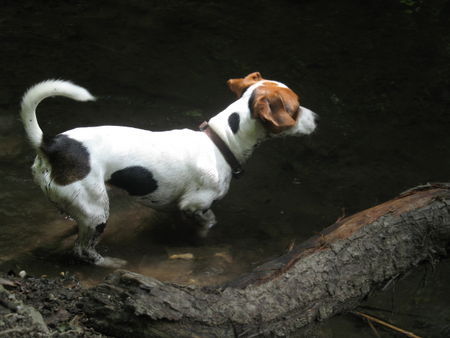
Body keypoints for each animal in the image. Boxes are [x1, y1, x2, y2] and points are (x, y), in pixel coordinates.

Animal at [20, 72, 316, 268]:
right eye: (296, 108)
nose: (318, 117)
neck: (221, 141)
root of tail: (50, 144)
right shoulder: (194, 205)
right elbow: (209, 221)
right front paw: (201, 236)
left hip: (79, 207)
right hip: (96, 213)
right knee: (83, 250)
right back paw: (111, 263)